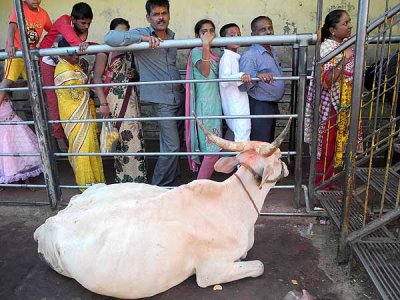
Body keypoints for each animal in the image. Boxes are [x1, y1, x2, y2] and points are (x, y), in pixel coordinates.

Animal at [33, 116, 290, 298]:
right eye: (278, 157)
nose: (286, 166)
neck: (235, 204)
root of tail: (47, 224)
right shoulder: (211, 271)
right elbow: (259, 266)